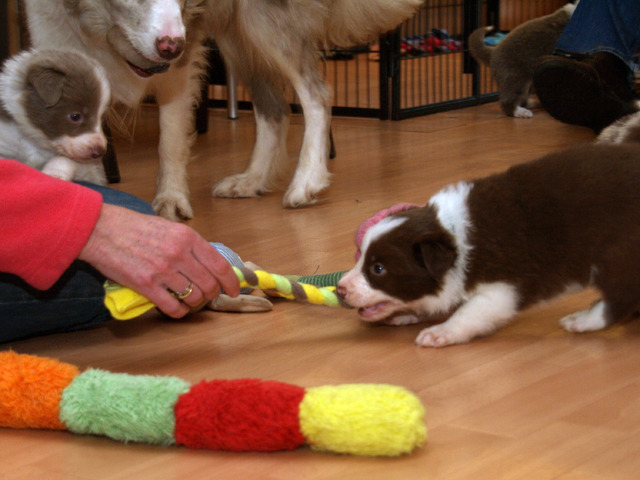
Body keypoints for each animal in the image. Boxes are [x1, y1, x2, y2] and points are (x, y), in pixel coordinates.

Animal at [0, 49, 110, 183]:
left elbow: (64, 159)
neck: (36, 140)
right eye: (75, 116)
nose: (100, 152)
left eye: (101, 118)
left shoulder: (90, 169)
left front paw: (53, 174)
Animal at [207, 0, 422, 207]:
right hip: (234, 31)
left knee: (317, 95)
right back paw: (251, 180)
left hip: (255, 19)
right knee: (275, 110)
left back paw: (305, 182)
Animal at [337, 143, 640, 348]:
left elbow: (471, 311)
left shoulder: (505, 287)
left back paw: (583, 320)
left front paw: (442, 332)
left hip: (616, 255)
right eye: (359, 257)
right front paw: (406, 314)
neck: (454, 235)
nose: (340, 289)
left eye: (378, 269)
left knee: (620, 298)